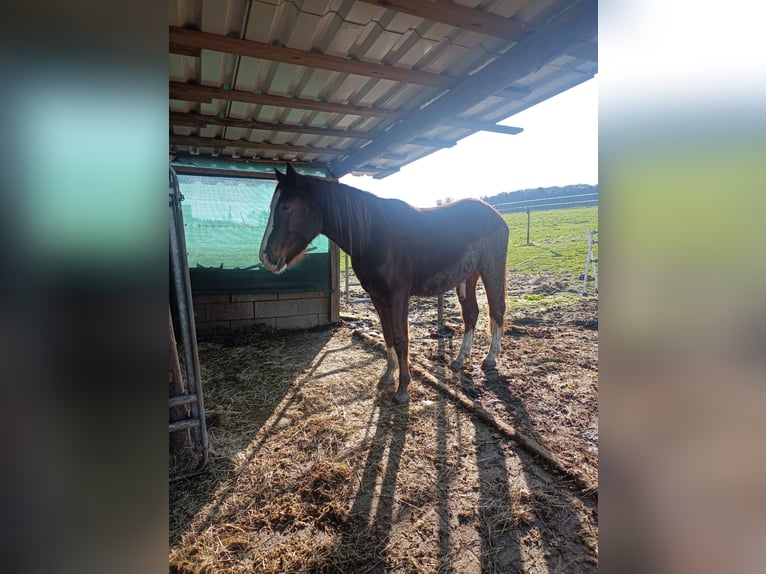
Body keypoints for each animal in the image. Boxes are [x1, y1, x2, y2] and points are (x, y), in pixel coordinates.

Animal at [260, 163, 509, 406]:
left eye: (285, 207)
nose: (266, 257)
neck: (375, 235)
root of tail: (495, 214)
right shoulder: (377, 295)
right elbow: (388, 334)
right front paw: (388, 376)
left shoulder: (398, 296)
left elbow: (400, 338)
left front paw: (403, 390)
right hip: (468, 277)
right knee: (471, 314)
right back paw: (459, 359)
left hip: (491, 269)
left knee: (497, 309)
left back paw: (490, 359)